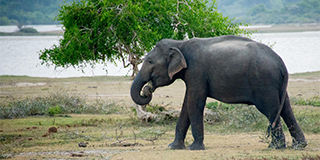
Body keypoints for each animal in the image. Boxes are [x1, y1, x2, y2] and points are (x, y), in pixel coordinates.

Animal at [130, 35, 308, 150]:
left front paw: (195, 148)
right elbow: (186, 105)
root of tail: (281, 62)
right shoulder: (192, 75)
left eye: (150, 61)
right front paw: (173, 147)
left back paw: (275, 147)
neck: (179, 44)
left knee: (271, 110)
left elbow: (194, 104)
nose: (148, 90)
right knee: (285, 109)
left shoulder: (196, 71)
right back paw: (298, 146)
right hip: (276, 84)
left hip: (264, 82)